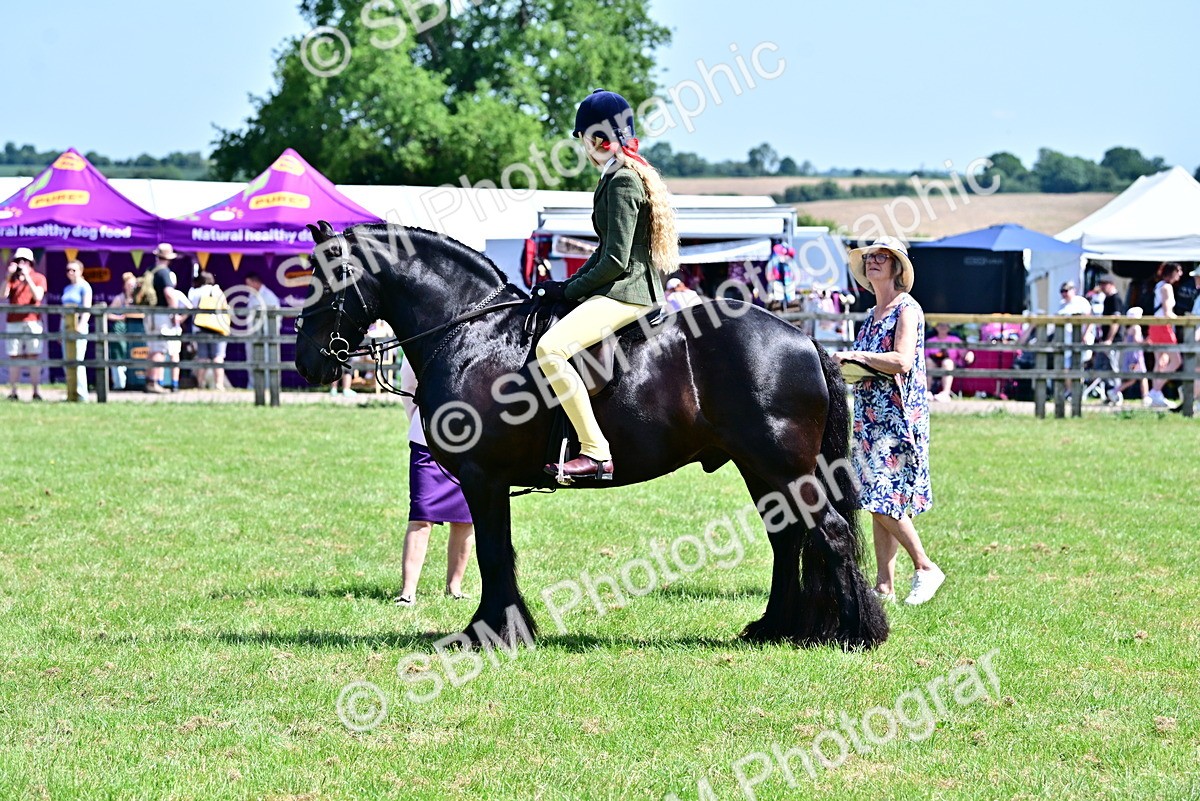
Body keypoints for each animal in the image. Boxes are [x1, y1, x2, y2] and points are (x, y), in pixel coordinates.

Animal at [294, 221, 888, 650]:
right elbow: (498, 551)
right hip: (759, 468)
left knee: (831, 534)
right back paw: (775, 629)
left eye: (330, 274)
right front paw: (509, 629)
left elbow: (491, 552)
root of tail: (805, 341)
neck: (474, 329)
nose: (306, 361)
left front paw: (492, 635)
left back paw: (856, 635)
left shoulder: (483, 478)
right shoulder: (489, 482)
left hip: (782, 466)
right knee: (788, 539)